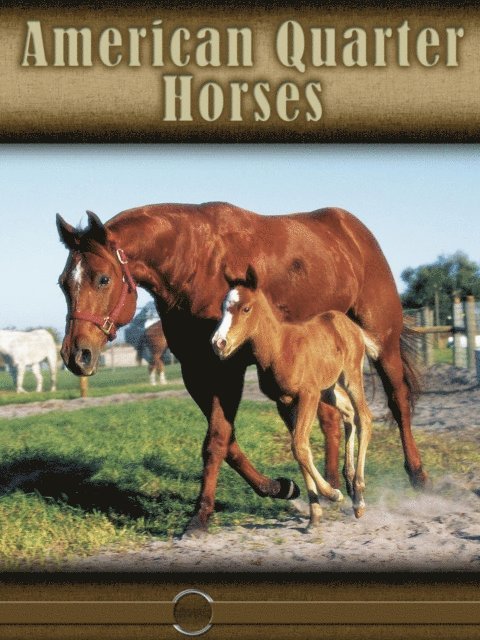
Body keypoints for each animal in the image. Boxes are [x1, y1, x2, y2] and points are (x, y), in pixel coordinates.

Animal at [212, 266, 378, 525]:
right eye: (222, 307)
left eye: (246, 308)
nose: (218, 343)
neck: (280, 349)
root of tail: (351, 325)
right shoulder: (284, 403)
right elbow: (300, 449)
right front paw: (315, 513)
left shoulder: (308, 395)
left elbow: (299, 445)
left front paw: (333, 494)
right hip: (328, 389)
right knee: (349, 413)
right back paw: (350, 483)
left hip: (350, 376)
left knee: (364, 417)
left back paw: (358, 497)